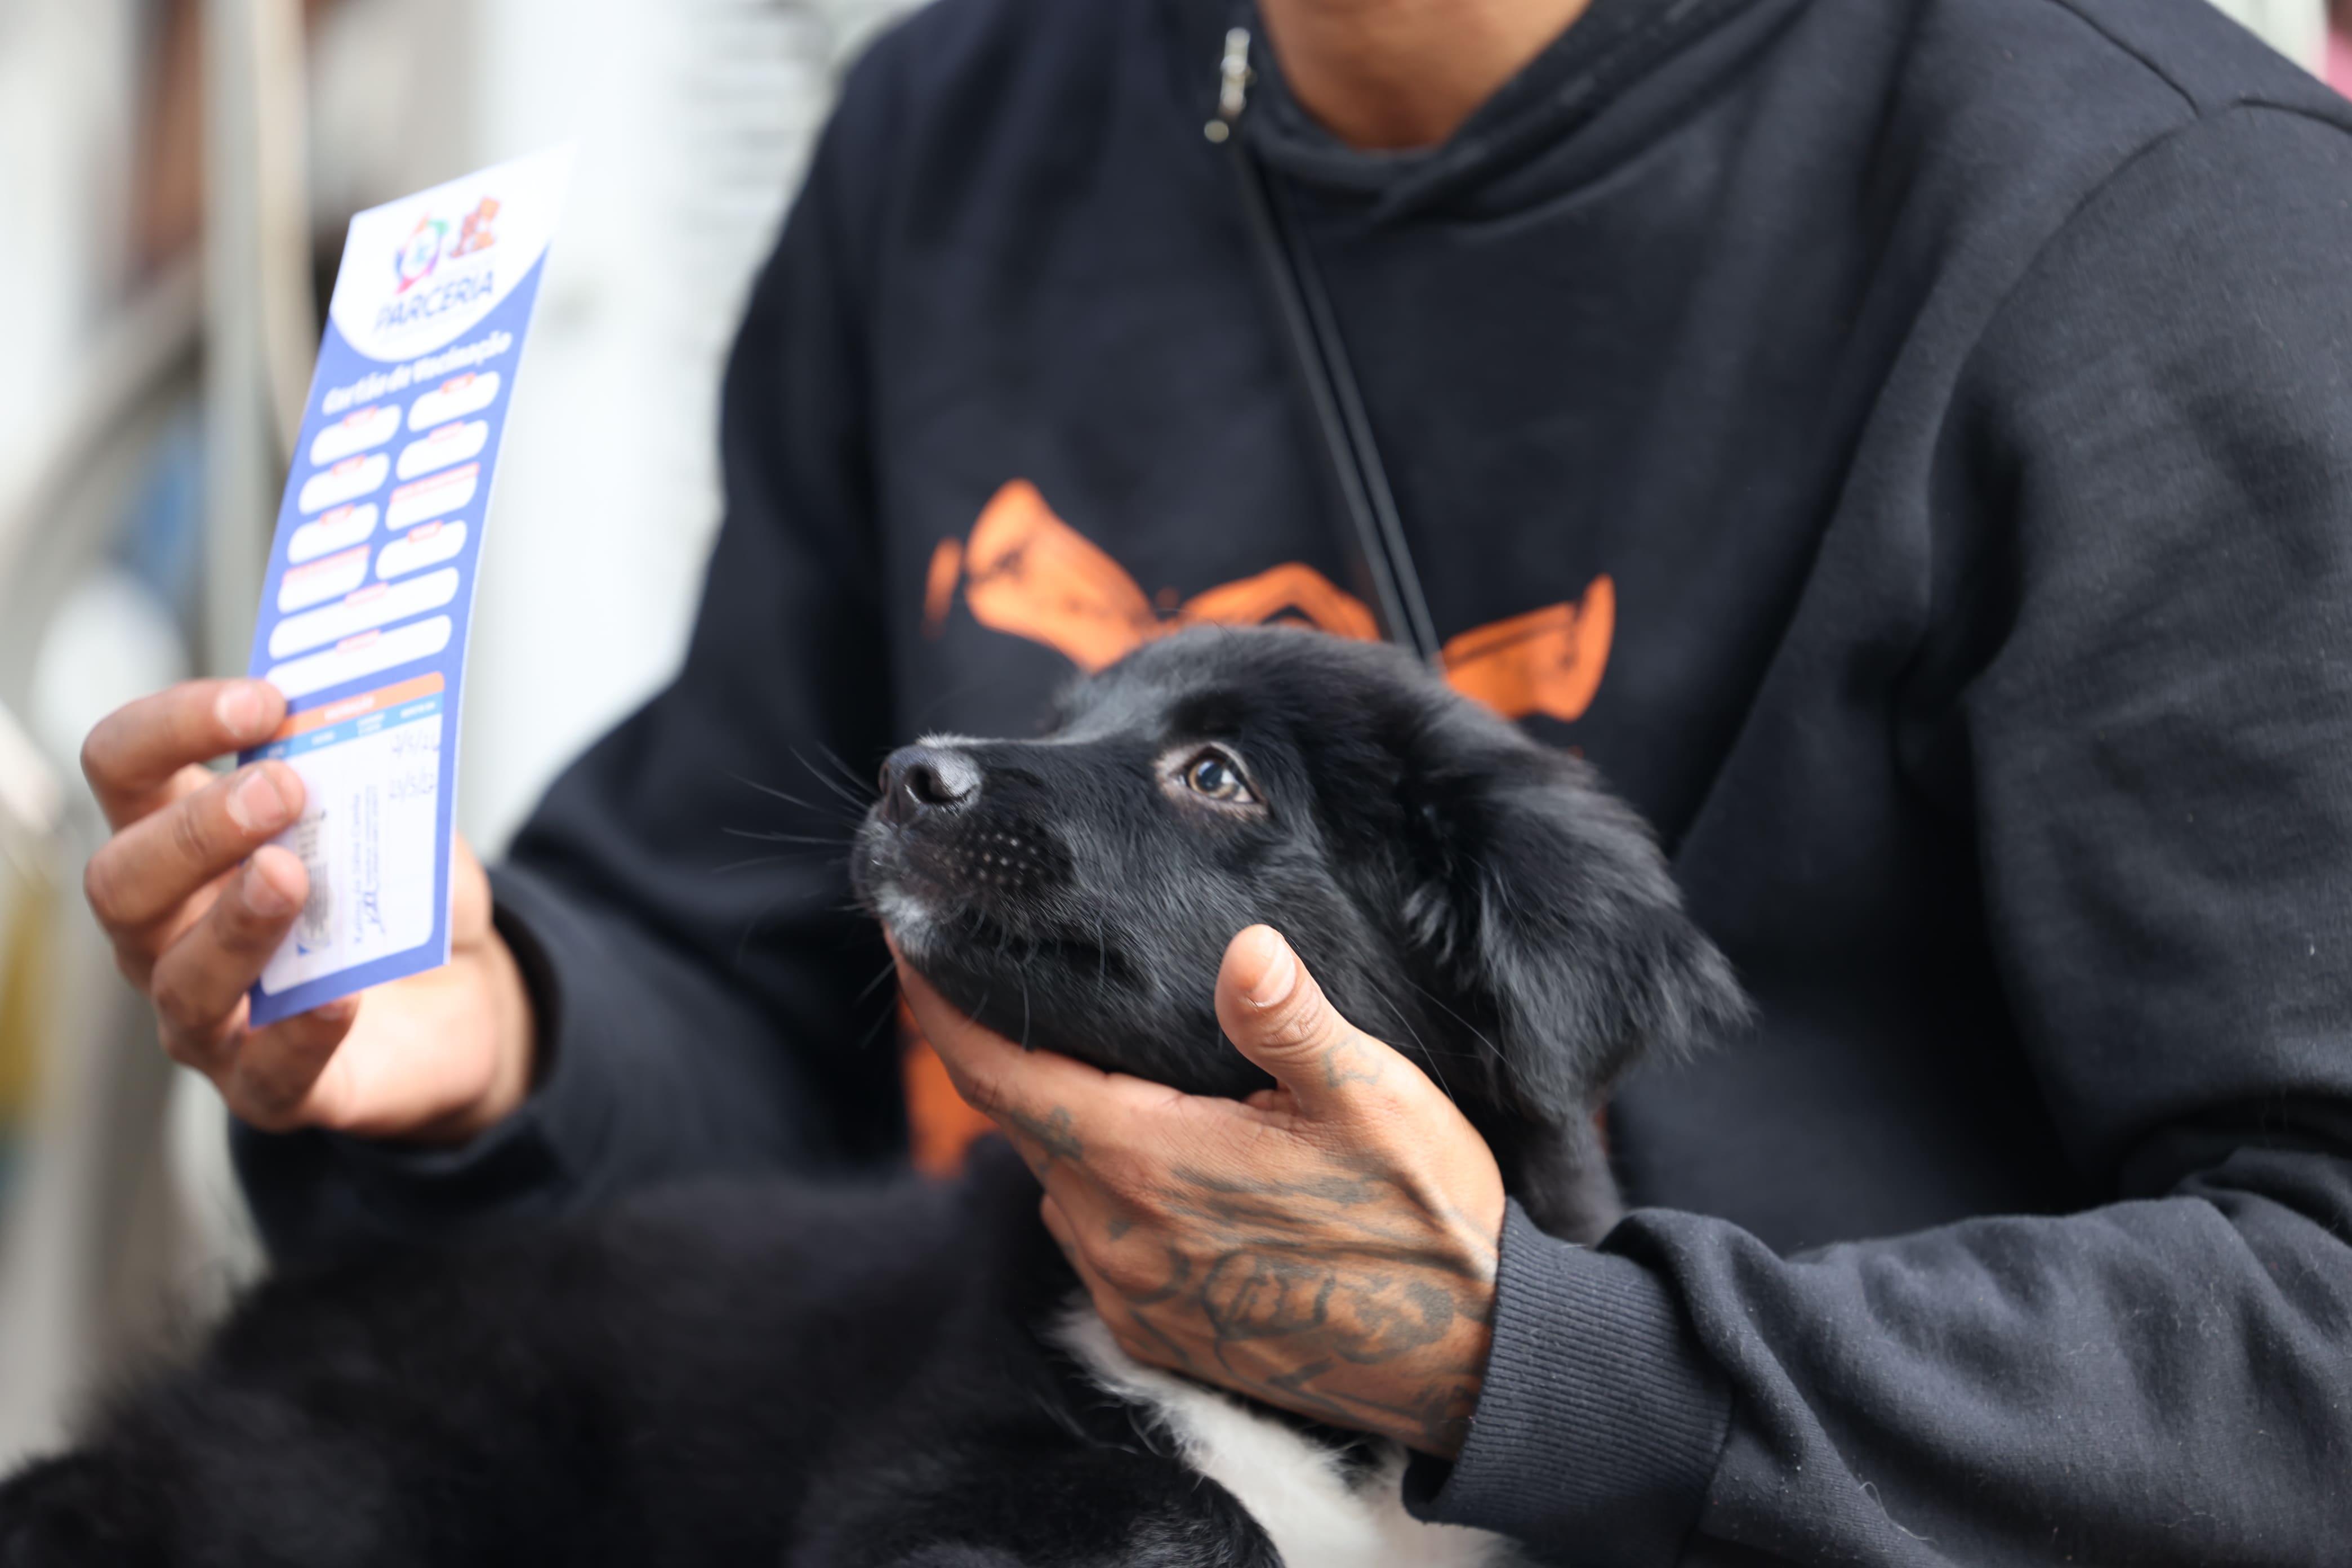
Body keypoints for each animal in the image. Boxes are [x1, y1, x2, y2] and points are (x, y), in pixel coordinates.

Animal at [0, 626, 1745, 1567]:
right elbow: (1189, 1509)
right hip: (356, 1493)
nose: (915, 772)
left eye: (1216, 777)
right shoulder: (899, 1487)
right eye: (1063, 722)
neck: (1307, 1422)